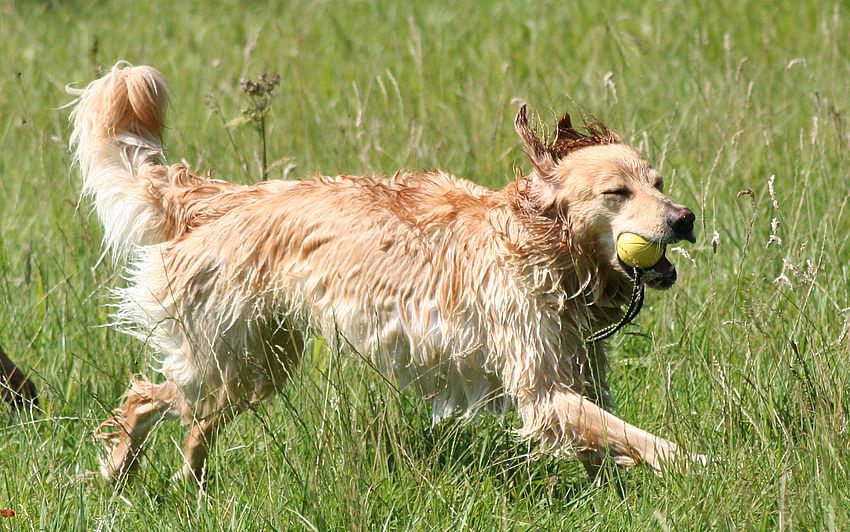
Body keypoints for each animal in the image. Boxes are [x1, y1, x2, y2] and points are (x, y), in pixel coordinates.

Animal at [68, 63, 699, 486]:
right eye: (616, 193)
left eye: (659, 182)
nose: (685, 219)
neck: (544, 248)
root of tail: (223, 197)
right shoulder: (545, 393)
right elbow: (643, 440)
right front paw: (698, 463)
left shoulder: (579, 379)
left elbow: (611, 441)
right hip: (227, 355)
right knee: (148, 395)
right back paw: (120, 472)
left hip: (258, 366)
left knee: (188, 419)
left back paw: (184, 483)